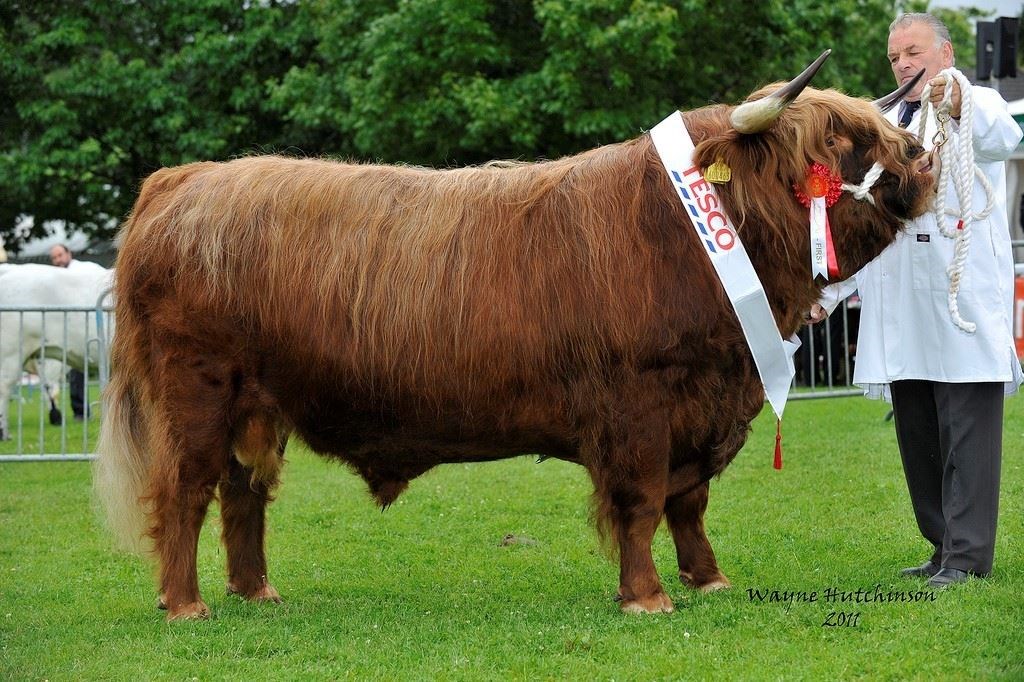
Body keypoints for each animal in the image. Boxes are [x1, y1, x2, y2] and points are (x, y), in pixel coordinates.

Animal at [94, 54, 937, 614]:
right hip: (198, 392)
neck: (695, 229)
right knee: (187, 490)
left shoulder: (702, 405)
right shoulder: (637, 407)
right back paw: (186, 603)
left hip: (256, 407)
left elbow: (688, 503)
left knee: (244, 494)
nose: (922, 161)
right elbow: (641, 502)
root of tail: (185, 180)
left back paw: (256, 591)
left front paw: (710, 579)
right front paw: (647, 597)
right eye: (835, 144)